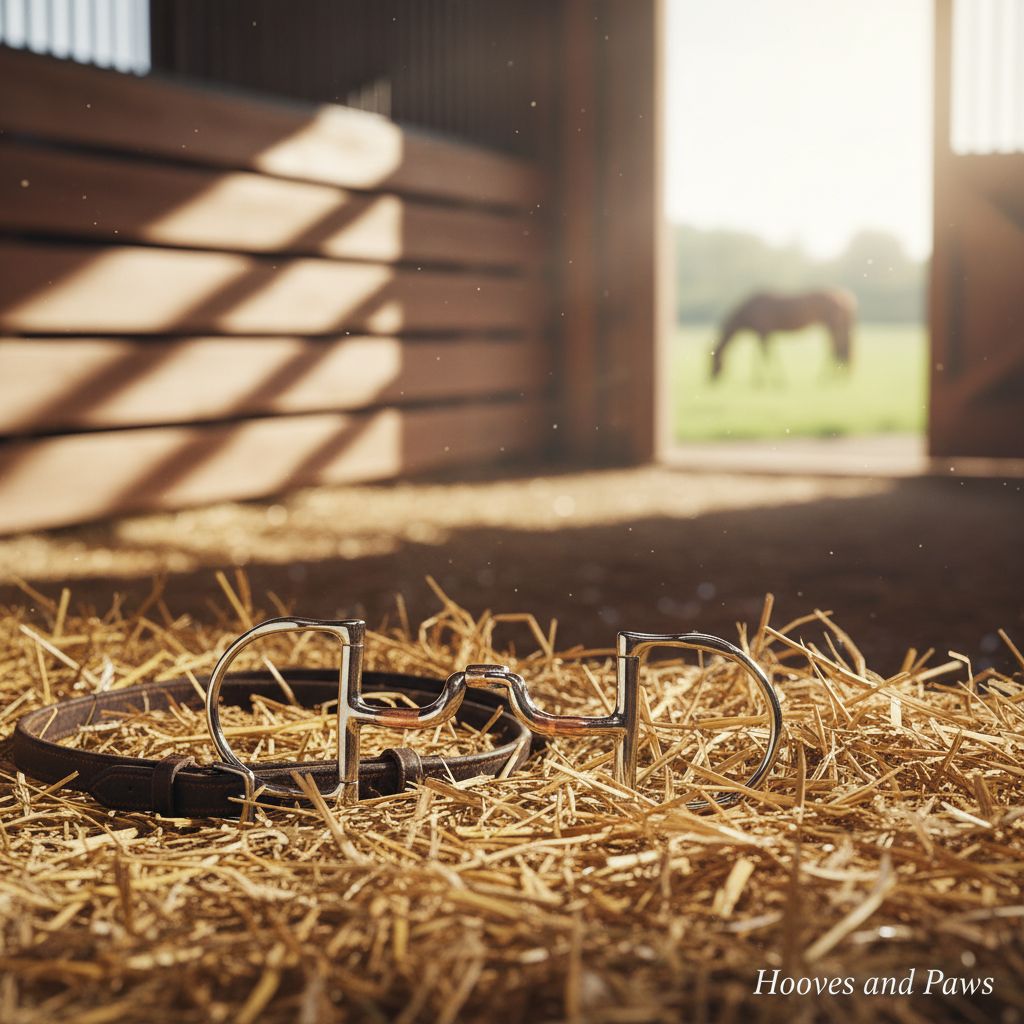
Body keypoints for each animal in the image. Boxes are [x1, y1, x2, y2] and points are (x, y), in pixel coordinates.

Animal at [709, 288, 856, 380]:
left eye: (713, 359)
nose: (710, 379)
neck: (747, 312)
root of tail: (845, 298)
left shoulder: (763, 332)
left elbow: (765, 355)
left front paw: (763, 380)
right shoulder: (766, 333)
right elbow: (767, 353)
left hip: (831, 325)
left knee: (836, 348)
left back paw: (826, 378)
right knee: (839, 348)